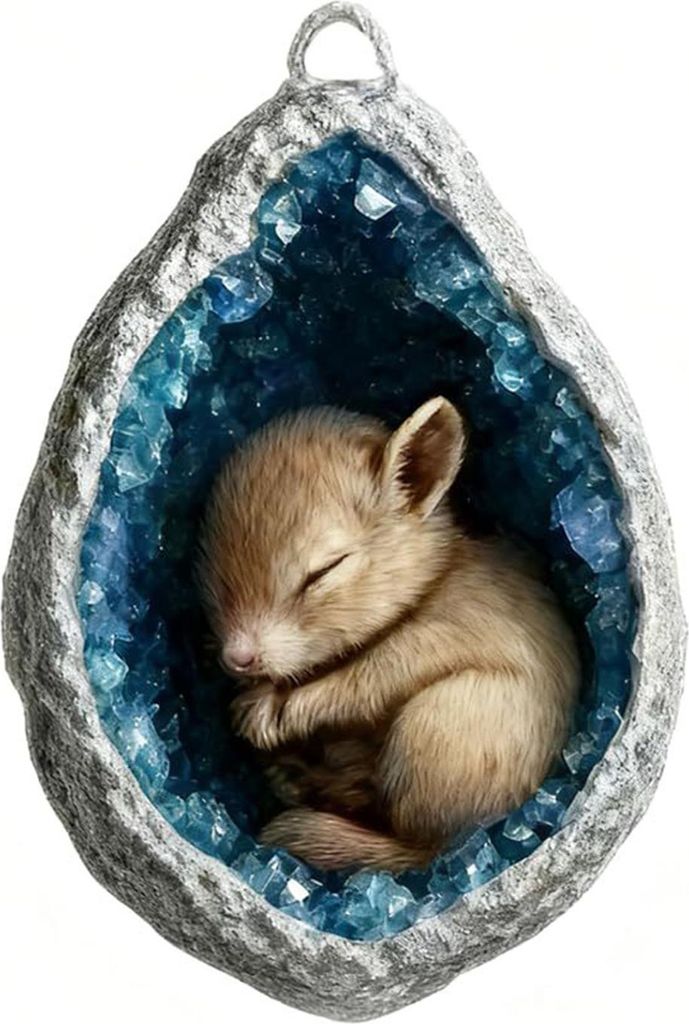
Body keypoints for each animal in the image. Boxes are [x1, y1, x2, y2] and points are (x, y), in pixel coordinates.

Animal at [198, 397, 580, 871]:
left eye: (325, 570)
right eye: (211, 565)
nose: (238, 657)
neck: (429, 583)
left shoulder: (432, 639)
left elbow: (359, 685)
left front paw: (265, 712)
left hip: (435, 721)